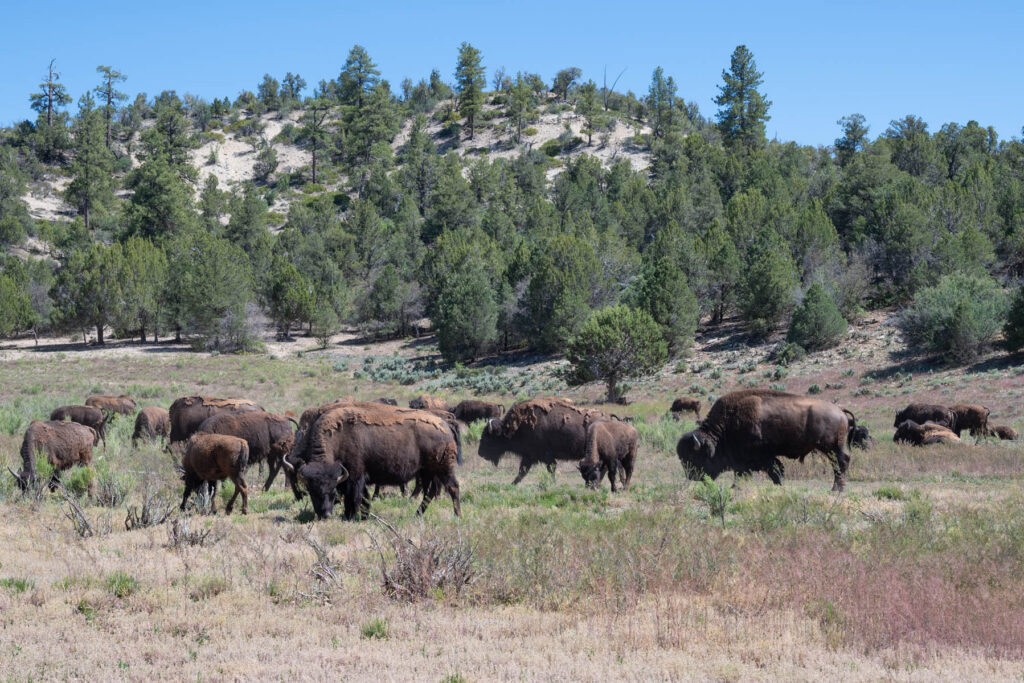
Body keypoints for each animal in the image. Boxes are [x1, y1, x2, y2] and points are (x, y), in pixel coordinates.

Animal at [284, 403, 461, 520]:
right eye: (312, 491)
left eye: (332, 491)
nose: (325, 515)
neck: (338, 436)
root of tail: (445, 426)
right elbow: (363, 497)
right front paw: (362, 515)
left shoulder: (355, 476)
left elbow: (354, 497)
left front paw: (350, 516)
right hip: (427, 472)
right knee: (429, 492)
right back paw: (417, 515)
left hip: (443, 469)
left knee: (452, 487)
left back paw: (457, 516)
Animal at [478, 398, 607, 484]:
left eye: (488, 438)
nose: (480, 453)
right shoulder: (528, 456)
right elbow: (522, 471)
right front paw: (513, 484)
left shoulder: (546, 456)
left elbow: (550, 469)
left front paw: (552, 483)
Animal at [676, 389, 855, 492]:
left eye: (695, 457)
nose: (691, 477)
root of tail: (839, 410)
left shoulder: (762, 456)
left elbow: (775, 470)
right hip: (830, 448)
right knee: (839, 463)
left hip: (831, 447)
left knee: (841, 462)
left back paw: (837, 489)